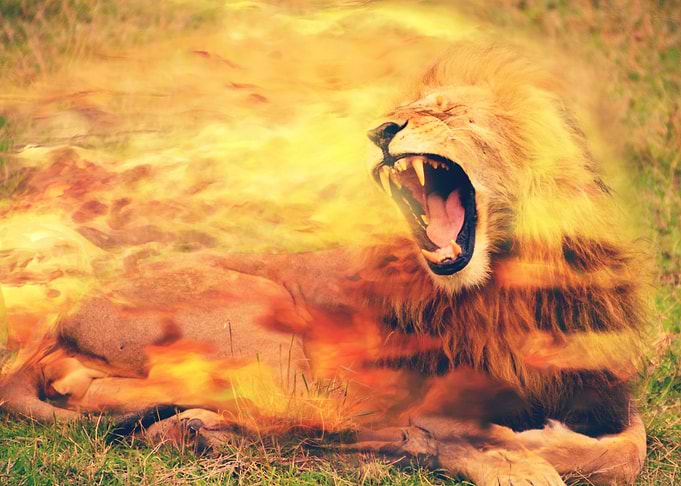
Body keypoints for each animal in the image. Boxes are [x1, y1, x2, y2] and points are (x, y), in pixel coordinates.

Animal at [0, 42, 650, 485]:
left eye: (448, 111)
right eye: (402, 109)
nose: (382, 130)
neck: (517, 281)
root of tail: (63, 315)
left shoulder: (601, 390)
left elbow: (629, 447)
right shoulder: (432, 391)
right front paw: (514, 458)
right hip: (267, 324)